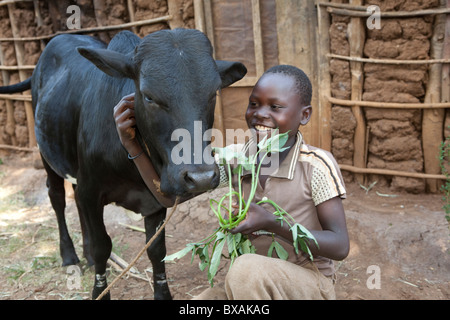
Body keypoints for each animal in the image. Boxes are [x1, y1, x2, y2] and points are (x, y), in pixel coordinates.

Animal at [0, 28, 246, 298]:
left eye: (214, 92)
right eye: (149, 96)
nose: (200, 177)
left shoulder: (154, 199)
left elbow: (156, 250)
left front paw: (162, 293)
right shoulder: (91, 191)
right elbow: (102, 245)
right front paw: (99, 290)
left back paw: (85, 255)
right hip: (47, 156)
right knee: (57, 198)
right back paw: (70, 255)